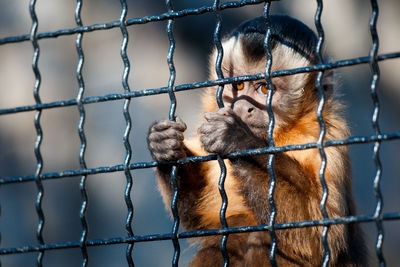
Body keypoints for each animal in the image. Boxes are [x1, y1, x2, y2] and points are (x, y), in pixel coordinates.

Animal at [146, 15, 366, 267]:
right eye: (238, 86)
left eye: (264, 88)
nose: (243, 106)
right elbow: (198, 220)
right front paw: (164, 143)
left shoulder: (328, 138)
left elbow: (323, 239)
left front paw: (236, 138)